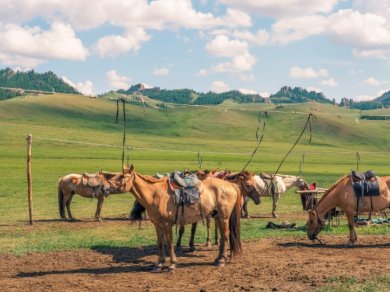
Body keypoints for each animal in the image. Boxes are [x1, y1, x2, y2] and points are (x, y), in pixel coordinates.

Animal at [106, 165, 262, 270]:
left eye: (121, 176)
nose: (107, 188)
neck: (155, 194)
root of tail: (231, 185)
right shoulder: (157, 224)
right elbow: (160, 243)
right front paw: (159, 263)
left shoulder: (167, 224)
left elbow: (169, 242)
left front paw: (172, 264)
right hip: (217, 216)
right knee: (223, 236)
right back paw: (218, 259)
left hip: (224, 217)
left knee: (225, 235)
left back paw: (221, 260)